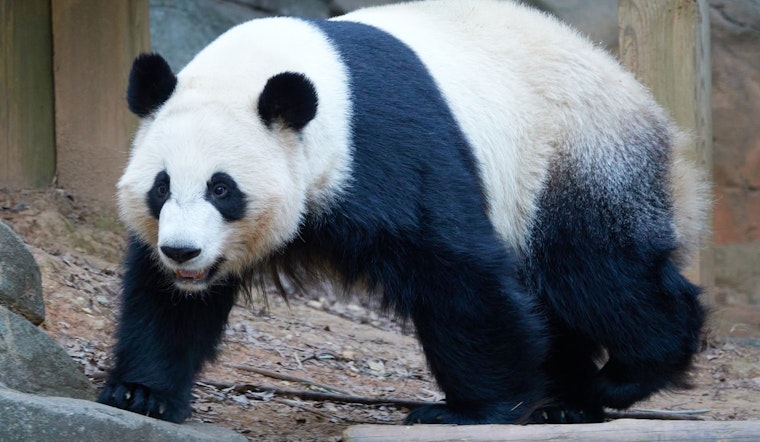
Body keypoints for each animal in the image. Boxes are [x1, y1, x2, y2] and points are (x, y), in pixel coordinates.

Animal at [99, 0, 709, 426]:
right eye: (161, 188)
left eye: (223, 189)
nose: (183, 252)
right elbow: (166, 301)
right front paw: (142, 391)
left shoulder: (380, 144)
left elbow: (455, 269)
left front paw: (473, 409)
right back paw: (568, 399)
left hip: (573, 160)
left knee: (596, 274)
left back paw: (627, 374)